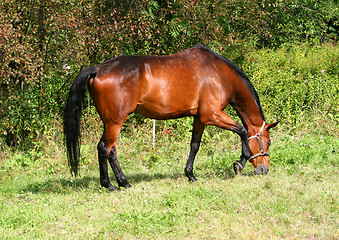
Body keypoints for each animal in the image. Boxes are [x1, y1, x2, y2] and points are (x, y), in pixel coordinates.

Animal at [63, 45, 278, 191]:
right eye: (267, 142)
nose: (264, 170)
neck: (218, 74)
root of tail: (98, 69)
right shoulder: (212, 115)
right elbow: (242, 131)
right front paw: (239, 163)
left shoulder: (200, 118)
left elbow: (195, 145)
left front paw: (190, 175)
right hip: (115, 122)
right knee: (104, 148)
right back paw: (109, 185)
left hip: (110, 122)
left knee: (112, 150)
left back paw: (124, 182)